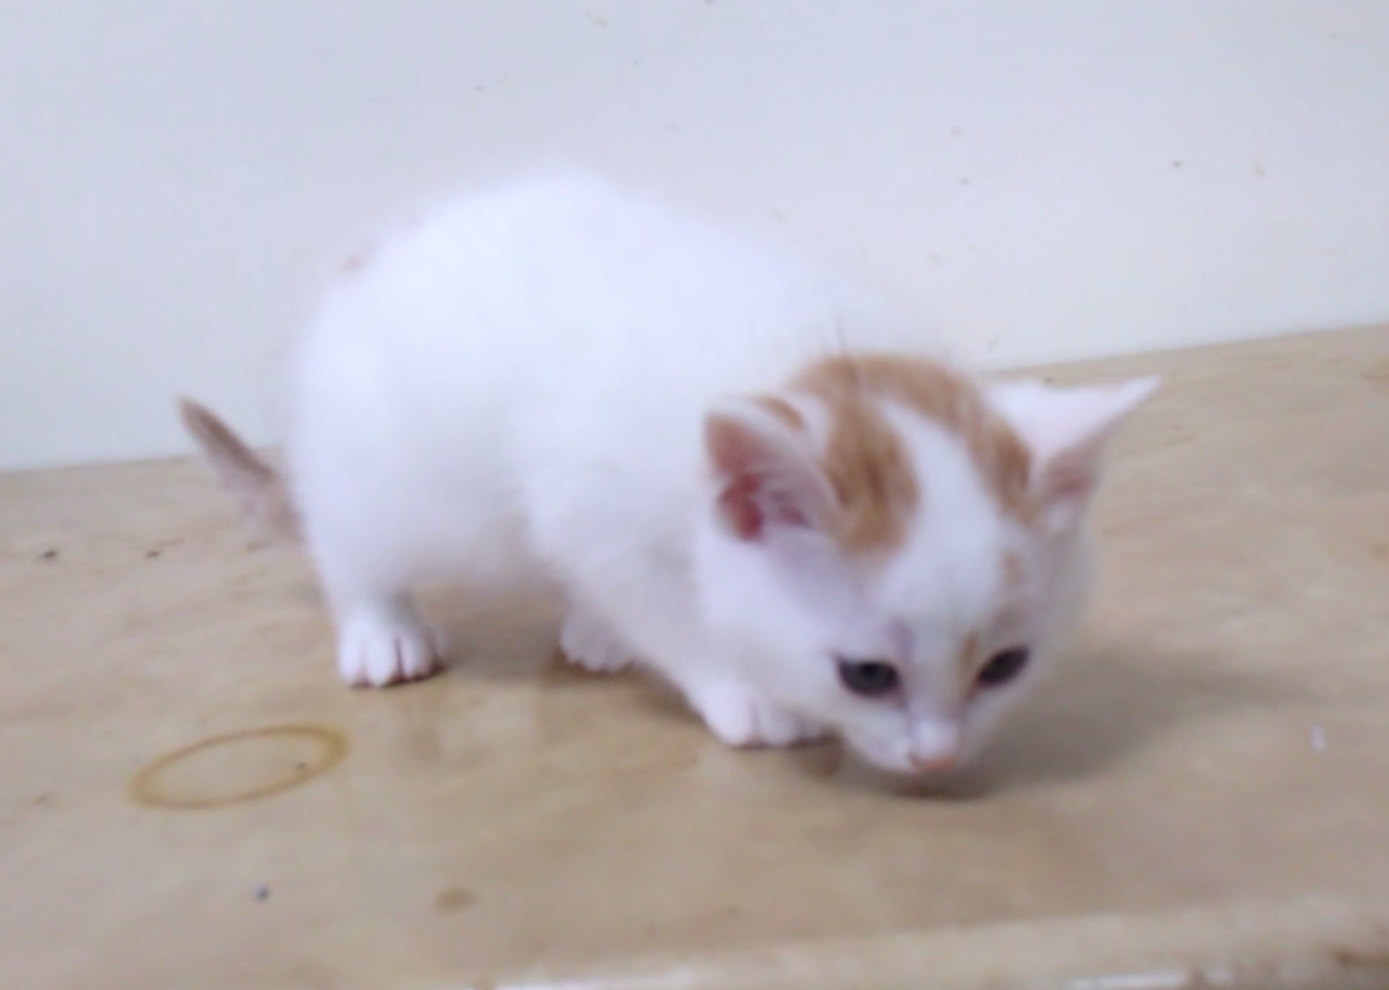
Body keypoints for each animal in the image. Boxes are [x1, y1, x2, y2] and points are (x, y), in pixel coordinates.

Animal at [180, 172, 1156, 775]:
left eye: (1004, 667)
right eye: (866, 676)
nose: (939, 756)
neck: (805, 364)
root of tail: (370, 257)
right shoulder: (588, 502)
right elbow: (664, 610)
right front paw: (746, 693)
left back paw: (587, 629)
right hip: (378, 473)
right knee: (350, 541)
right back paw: (382, 627)